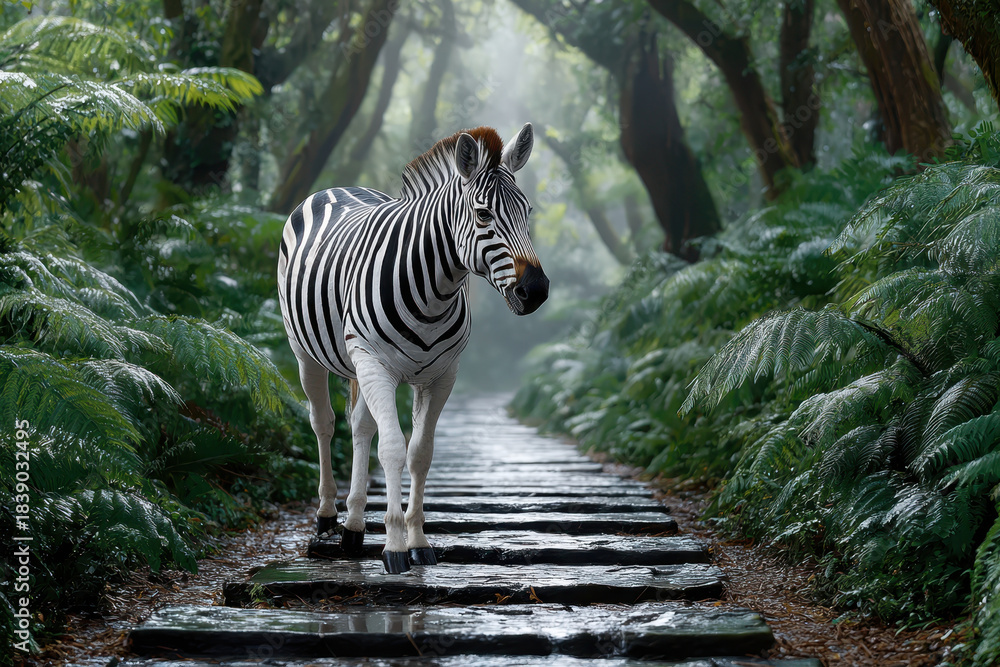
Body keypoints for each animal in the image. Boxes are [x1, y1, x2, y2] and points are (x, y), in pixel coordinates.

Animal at [277, 124, 549, 573]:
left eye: (527, 213)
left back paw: (353, 526)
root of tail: (338, 188)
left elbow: (420, 452)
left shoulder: (442, 375)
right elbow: (391, 449)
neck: (433, 294)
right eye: (483, 215)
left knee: (359, 426)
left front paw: (418, 540)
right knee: (324, 422)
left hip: (360, 367)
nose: (537, 291)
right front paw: (394, 547)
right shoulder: (375, 364)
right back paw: (328, 516)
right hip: (308, 353)